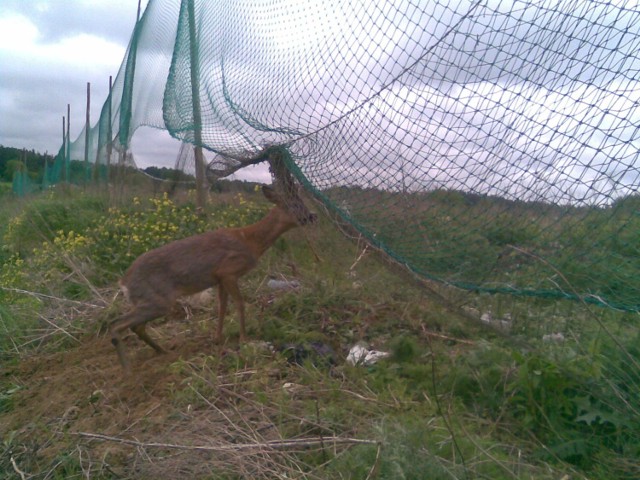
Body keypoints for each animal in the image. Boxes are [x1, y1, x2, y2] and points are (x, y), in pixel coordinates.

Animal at [114, 186, 318, 370]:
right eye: (294, 204)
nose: (312, 216)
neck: (251, 241)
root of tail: (124, 282)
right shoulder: (228, 271)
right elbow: (239, 304)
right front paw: (244, 338)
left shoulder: (219, 278)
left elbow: (222, 307)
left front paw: (217, 338)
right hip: (157, 299)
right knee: (118, 324)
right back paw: (127, 369)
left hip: (151, 301)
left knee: (136, 327)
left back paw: (162, 351)